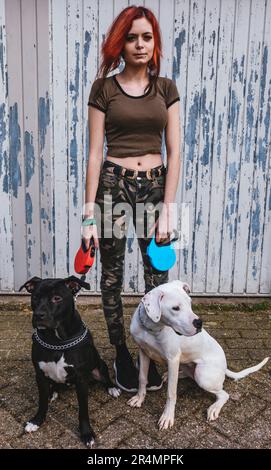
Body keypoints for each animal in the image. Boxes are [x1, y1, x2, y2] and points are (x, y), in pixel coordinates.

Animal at [19, 278, 120, 446]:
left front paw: (86, 433)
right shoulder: (40, 375)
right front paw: (36, 421)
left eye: (57, 298)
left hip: (99, 366)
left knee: (105, 378)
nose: (38, 315)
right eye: (35, 297)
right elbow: (41, 402)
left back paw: (112, 388)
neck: (57, 340)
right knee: (54, 386)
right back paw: (52, 392)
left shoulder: (81, 379)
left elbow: (83, 410)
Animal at [129, 280, 270, 430]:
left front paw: (167, 417)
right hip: (186, 365)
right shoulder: (144, 352)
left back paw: (214, 408)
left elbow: (171, 393)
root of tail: (224, 367)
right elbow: (142, 378)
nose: (199, 323)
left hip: (203, 376)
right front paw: (139, 398)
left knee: (224, 394)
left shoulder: (173, 359)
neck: (151, 329)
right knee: (187, 374)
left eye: (190, 303)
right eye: (175, 308)